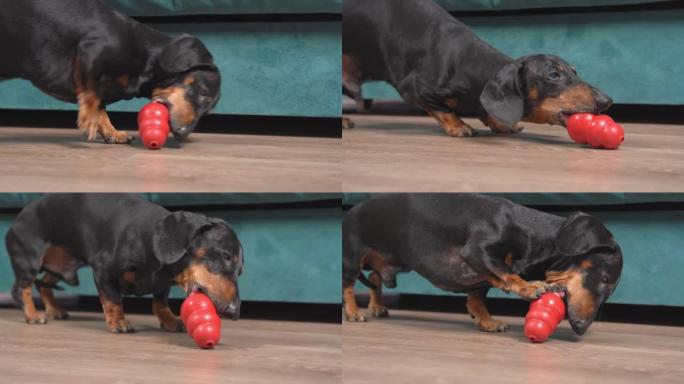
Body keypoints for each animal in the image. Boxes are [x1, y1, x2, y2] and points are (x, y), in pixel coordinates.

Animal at [0, 0, 220, 143]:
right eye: (203, 92)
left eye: (208, 111)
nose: (183, 134)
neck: (148, 56)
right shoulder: (91, 50)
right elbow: (92, 96)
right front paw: (88, 121)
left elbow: (101, 106)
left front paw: (112, 132)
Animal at [6, 195, 243, 332]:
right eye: (225, 256)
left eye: (241, 271)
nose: (234, 312)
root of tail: (16, 221)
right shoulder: (102, 269)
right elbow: (112, 299)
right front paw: (118, 322)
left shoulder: (162, 285)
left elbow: (160, 302)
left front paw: (169, 320)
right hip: (30, 260)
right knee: (21, 289)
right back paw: (32, 315)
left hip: (60, 265)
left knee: (43, 284)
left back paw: (54, 310)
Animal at [344, 0, 612, 136]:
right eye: (553, 75)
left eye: (574, 71)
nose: (607, 100)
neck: (462, 62)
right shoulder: (413, 89)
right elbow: (443, 110)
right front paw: (459, 126)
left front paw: (500, 123)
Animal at [344, 195, 624, 336]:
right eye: (605, 278)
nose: (581, 328)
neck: (533, 233)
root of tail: (352, 211)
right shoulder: (478, 251)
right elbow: (508, 275)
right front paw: (529, 287)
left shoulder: (480, 278)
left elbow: (477, 298)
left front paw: (486, 321)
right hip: (352, 258)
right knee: (348, 285)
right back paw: (353, 312)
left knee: (375, 278)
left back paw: (376, 306)